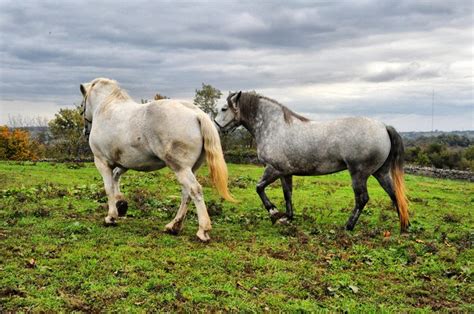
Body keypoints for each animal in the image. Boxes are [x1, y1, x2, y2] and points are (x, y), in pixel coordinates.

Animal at [80, 78, 234, 240]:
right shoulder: (124, 163)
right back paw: (174, 226)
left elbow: (109, 187)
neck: (106, 108)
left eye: (83, 105)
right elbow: (116, 178)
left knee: (194, 190)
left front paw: (111, 217)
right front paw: (121, 204)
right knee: (186, 193)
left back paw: (202, 230)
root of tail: (197, 114)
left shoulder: (102, 162)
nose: (85, 131)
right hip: (191, 168)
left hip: (180, 167)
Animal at [217, 92, 410, 232]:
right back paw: (404, 226)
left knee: (362, 199)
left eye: (224, 108)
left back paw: (348, 226)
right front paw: (287, 217)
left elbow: (259, 188)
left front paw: (274, 212)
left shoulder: (273, 169)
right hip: (380, 173)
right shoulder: (285, 173)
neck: (275, 127)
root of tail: (383, 127)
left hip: (359, 174)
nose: (217, 127)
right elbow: (288, 194)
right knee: (394, 194)